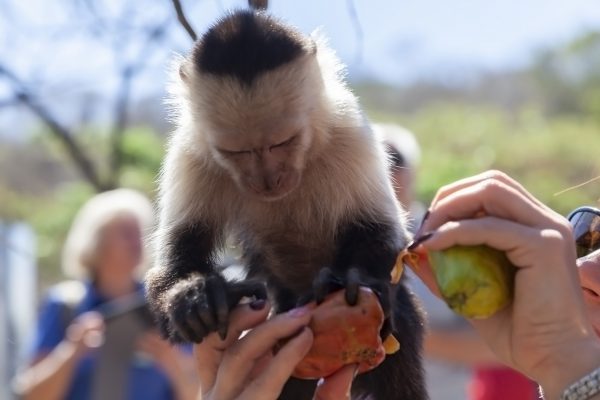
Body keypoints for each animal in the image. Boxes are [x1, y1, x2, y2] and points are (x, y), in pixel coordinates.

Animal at [145, 10, 426, 400]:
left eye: (283, 142)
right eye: (237, 152)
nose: (268, 180)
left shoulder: (348, 127)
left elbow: (381, 230)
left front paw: (348, 278)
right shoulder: (190, 150)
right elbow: (179, 254)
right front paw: (191, 299)